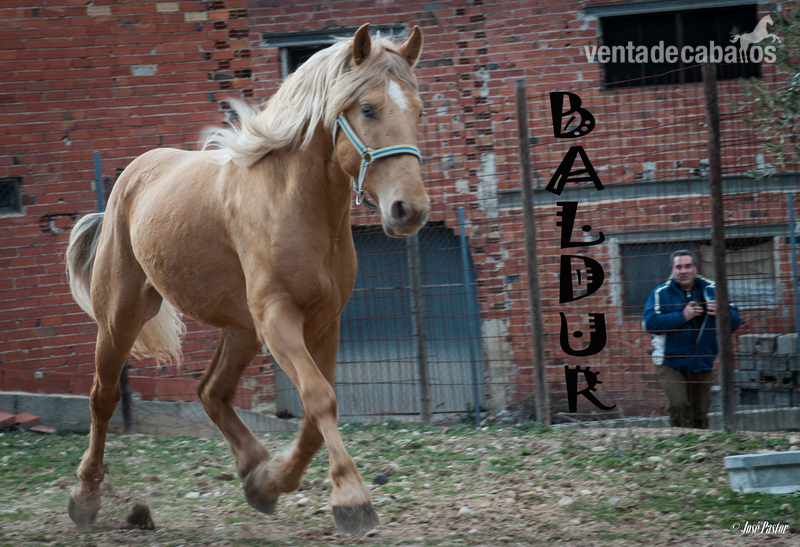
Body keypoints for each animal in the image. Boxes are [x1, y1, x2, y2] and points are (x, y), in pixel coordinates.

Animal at [64, 24, 428, 534]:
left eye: (417, 110)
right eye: (369, 108)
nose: (408, 210)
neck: (296, 204)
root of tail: (129, 178)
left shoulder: (324, 322)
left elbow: (316, 412)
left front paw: (274, 482)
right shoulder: (278, 317)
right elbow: (319, 398)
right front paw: (352, 499)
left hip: (241, 329)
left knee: (211, 390)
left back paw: (256, 473)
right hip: (122, 316)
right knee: (104, 396)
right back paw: (86, 498)